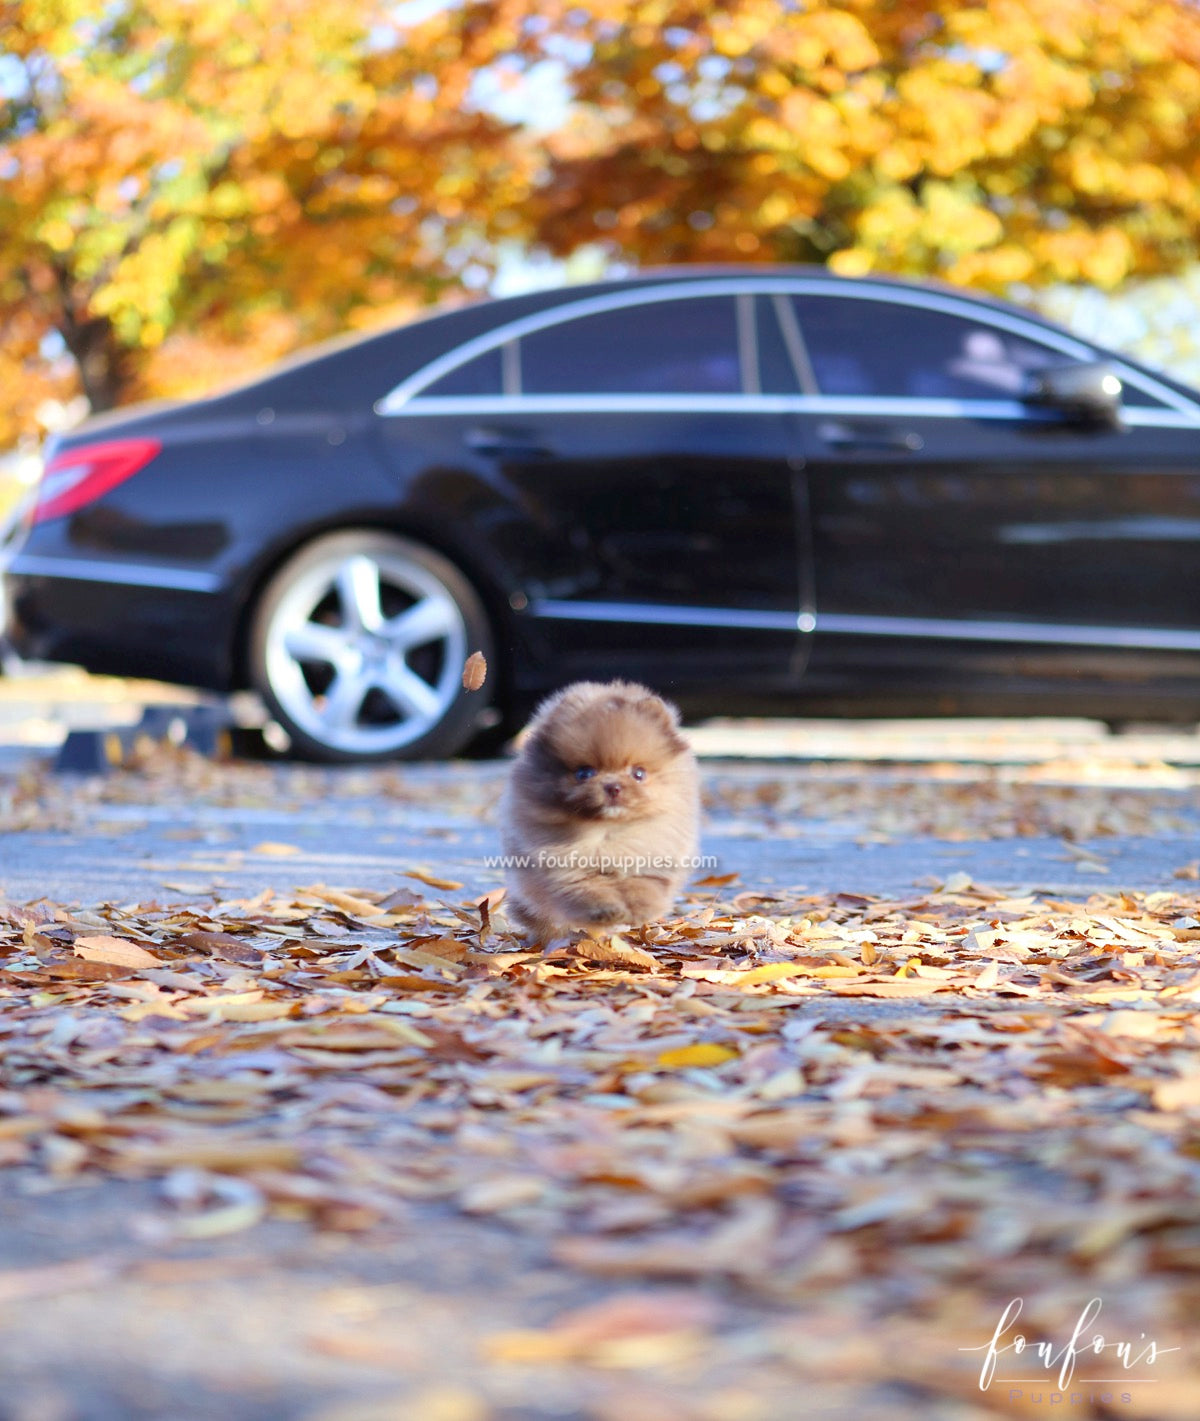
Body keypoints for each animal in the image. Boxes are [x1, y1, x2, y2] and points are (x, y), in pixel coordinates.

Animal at [500, 679, 702, 943]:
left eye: (638, 773)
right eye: (584, 773)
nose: (613, 786)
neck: (609, 833)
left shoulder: (653, 859)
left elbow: (643, 887)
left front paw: (639, 909)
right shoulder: (568, 871)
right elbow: (591, 891)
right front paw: (608, 910)